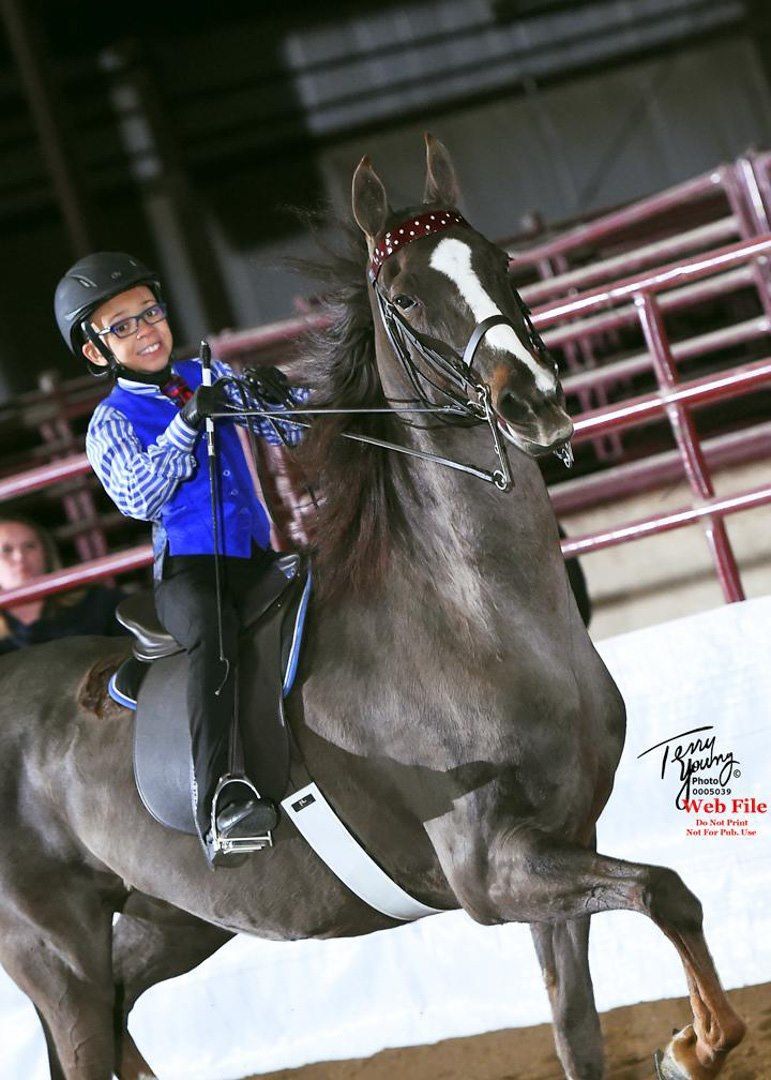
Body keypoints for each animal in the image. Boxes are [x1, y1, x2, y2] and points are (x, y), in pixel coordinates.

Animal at [0, 135, 744, 1080]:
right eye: (403, 297)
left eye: (500, 263)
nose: (533, 401)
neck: (470, 622)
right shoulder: (490, 872)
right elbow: (666, 889)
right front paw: (696, 1043)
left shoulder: (562, 846)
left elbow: (581, 1026)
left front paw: (684, 1038)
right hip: (56, 955)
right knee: (86, 1033)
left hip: (172, 921)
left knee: (121, 1011)